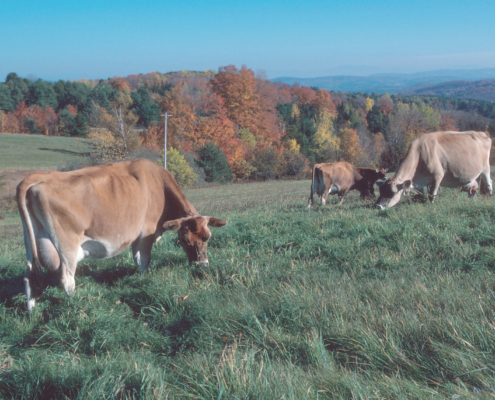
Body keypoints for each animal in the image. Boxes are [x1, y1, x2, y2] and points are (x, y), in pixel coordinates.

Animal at [16, 157, 230, 312]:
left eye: (207, 237)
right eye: (185, 240)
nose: (202, 264)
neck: (159, 185)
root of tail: (35, 177)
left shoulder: (137, 236)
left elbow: (136, 257)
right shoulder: (147, 231)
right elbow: (145, 259)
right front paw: (145, 278)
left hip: (30, 243)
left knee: (28, 277)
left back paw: (32, 312)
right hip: (67, 244)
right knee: (67, 280)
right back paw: (76, 305)